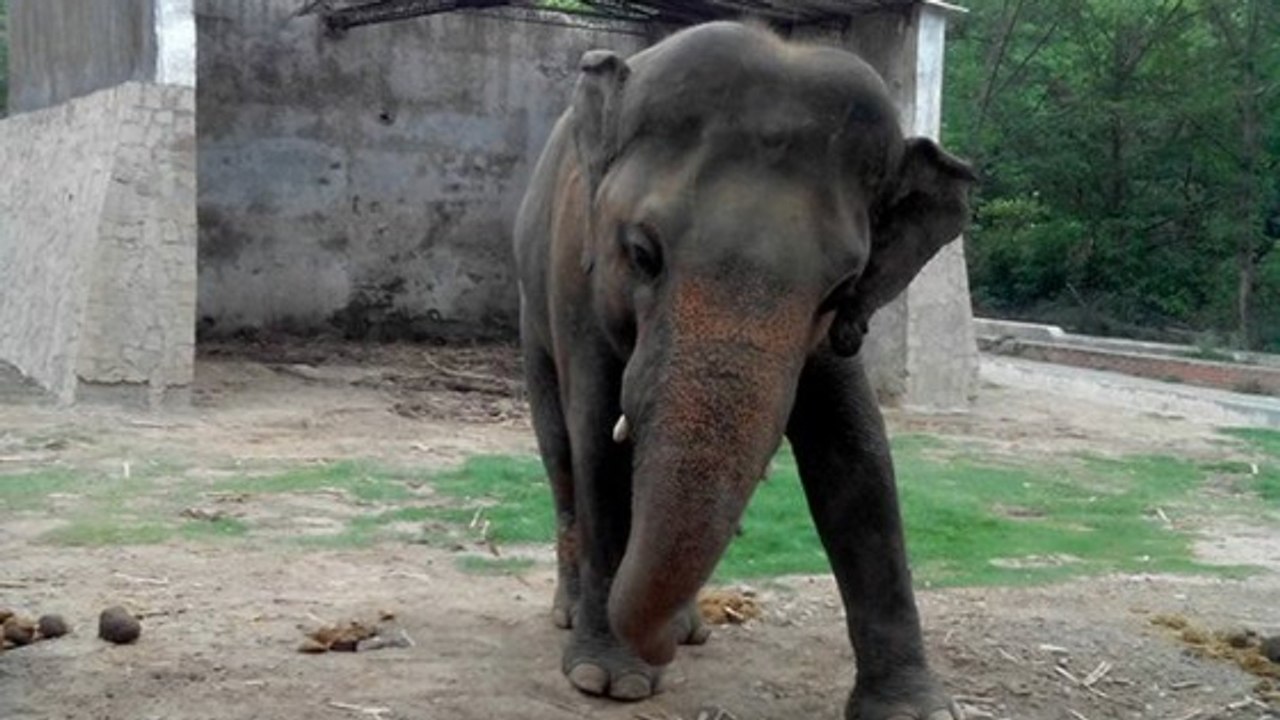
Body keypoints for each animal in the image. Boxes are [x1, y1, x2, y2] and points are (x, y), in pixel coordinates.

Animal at [513, 20, 975, 720]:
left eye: (840, 290)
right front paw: (610, 681)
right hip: (531, 312)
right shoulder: (576, 277)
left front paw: (913, 710)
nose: (660, 645)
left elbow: (859, 460)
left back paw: (685, 629)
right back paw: (574, 614)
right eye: (641, 253)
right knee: (560, 450)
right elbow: (597, 441)